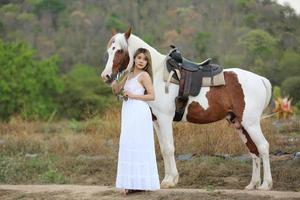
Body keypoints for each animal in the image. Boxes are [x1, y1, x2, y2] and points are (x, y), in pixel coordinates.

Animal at [101, 27, 272, 190]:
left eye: (119, 50)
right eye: (109, 51)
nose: (106, 76)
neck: (157, 74)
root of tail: (259, 79)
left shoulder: (164, 119)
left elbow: (169, 148)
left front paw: (170, 181)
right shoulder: (156, 121)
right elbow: (163, 149)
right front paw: (167, 179)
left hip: (250, 123)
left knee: (263, 147)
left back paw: (266, 184)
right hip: (239, 124)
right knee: (253, 150)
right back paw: (252, 184)